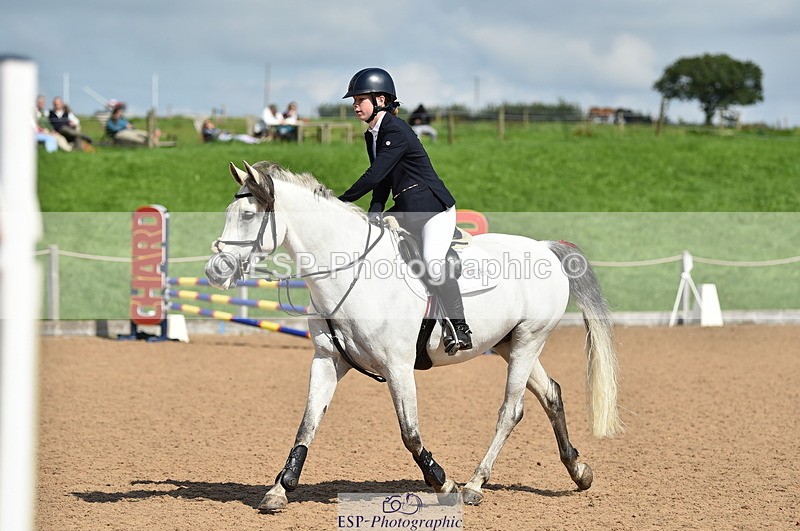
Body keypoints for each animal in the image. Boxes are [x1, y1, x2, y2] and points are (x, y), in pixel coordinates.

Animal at [205, 160, 622, 512]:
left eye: (247, 215)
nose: (215, 270)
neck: (350, 273)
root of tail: (546, 249)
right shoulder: (328, 360)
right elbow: (307, 423)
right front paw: (280, 488)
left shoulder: (398, 366)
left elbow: (410, 432)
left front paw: (443, 484)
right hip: (510, 345)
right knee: (550, 394)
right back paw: (579, 471)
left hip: (528, 341)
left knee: (510, 411)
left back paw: (474, 485)